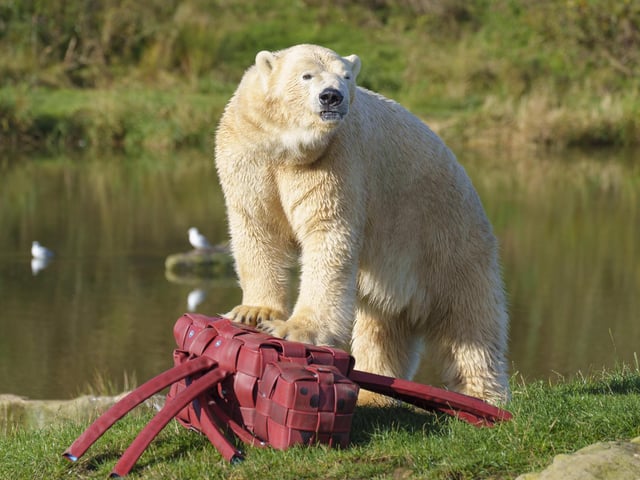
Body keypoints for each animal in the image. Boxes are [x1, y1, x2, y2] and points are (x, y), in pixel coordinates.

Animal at [214, 44, 509, 405]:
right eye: (307, 75)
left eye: (346, 77)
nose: (332, 97)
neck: (288, 148)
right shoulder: (249, 153)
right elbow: (257, 228)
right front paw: (254, 312)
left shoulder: (336, 160)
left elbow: (327, 237)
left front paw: (295, 329)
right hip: (397, 270)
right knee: (383, 329)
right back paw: (373, 394)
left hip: (448, 239)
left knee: (470, 324)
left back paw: (484, 397)